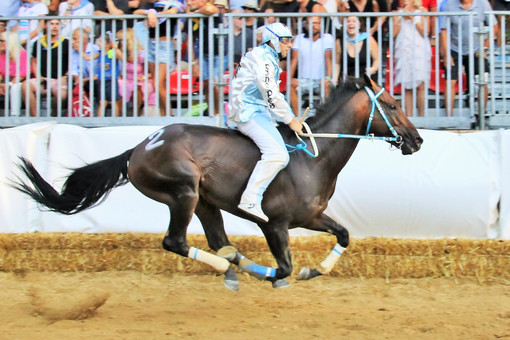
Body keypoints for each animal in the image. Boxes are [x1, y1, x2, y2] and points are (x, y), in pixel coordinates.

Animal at [10, 75, 422, 290]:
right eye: (393, 103)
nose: (417, 140)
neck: (312, 157)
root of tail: (139, 148)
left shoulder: (311, 216)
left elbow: (344, 235)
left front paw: (312, 270)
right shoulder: (275, 224)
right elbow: (284, 268)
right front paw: (276, 275)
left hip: (205, 202)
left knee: (220, 243)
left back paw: (231, 266)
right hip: (183, 192)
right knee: (176, 242)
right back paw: (233, 269)